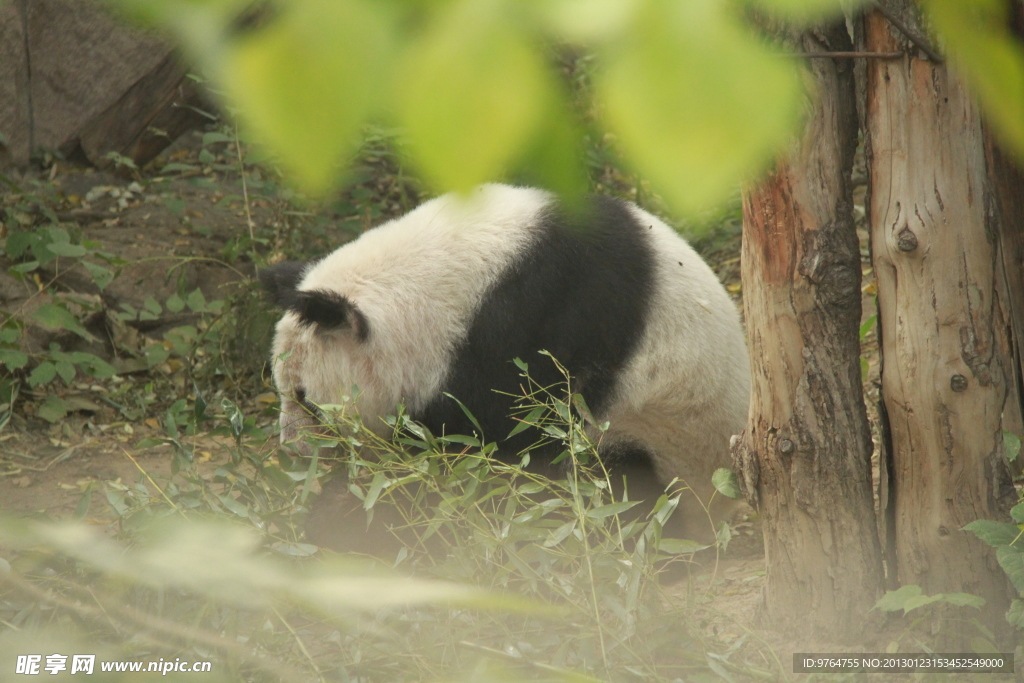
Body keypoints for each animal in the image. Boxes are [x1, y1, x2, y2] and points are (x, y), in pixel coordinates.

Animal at [260, 184, 749, 552]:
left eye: (307, 400)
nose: (292, 450)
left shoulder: (539, 324)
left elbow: (497, 448)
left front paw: (351, 518)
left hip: (666, 441)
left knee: (617, 489)